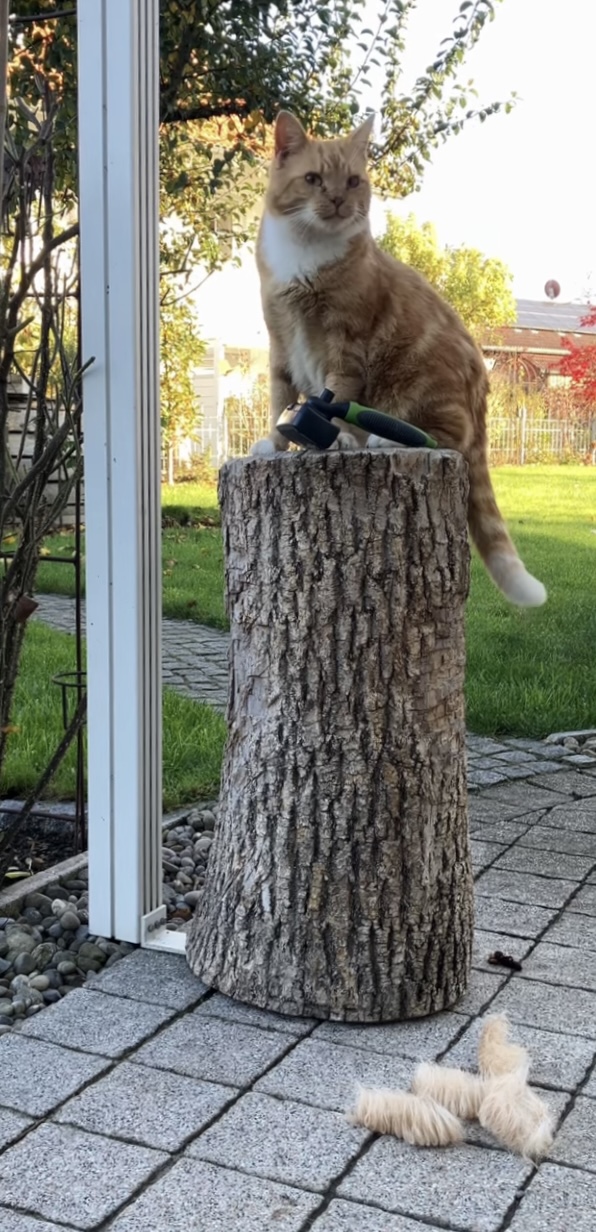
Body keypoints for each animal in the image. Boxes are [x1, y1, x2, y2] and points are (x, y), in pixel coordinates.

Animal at [252, 110, 546, 608]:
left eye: (353, 181)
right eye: (313, 180)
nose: (337, 201)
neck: (307, 251)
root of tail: (482, 383)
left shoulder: (346, 345)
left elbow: (335, 396)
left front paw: (339, 436)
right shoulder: (281, 340)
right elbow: (279, 398)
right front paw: (274, 443)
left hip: (417, 384)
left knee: (449, 438)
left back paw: (384, 438)